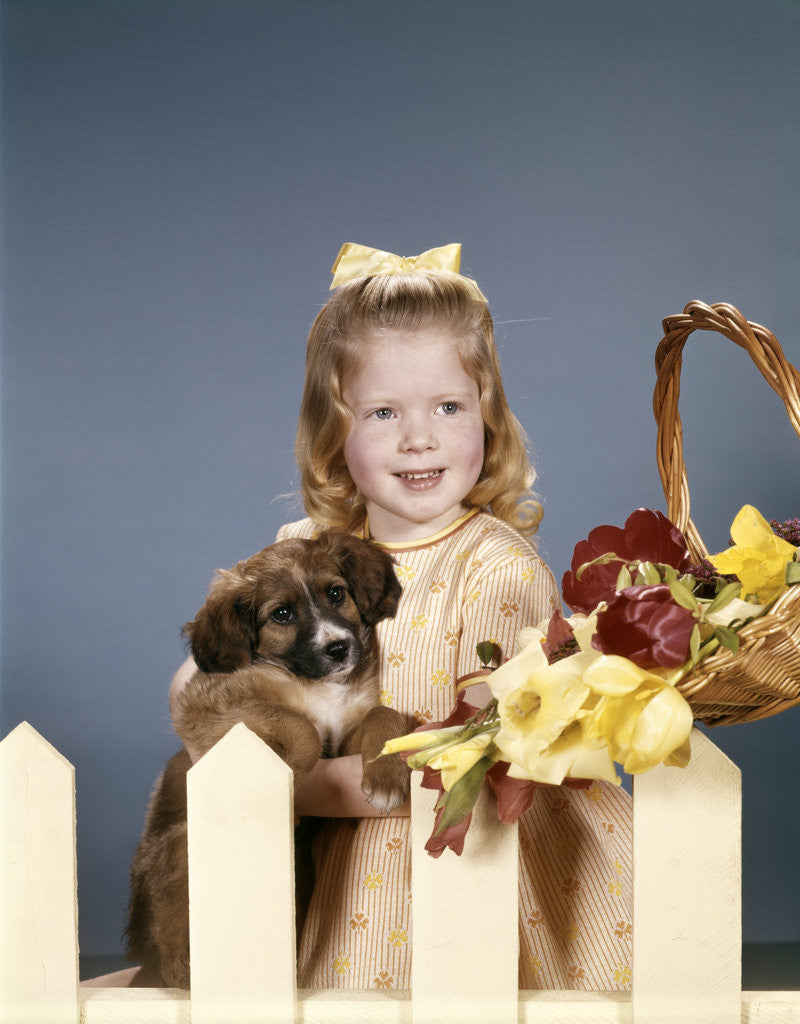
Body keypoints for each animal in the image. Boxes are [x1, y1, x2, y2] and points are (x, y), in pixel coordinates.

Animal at [126, 528, 411, 983]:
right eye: (282, 614)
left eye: (336, 593)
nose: (338, 648)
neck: (314, 682)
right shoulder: (207, 708)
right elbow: (302, 730)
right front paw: (281, 788)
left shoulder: (346, 737)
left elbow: (383, 714)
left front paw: (385, 775)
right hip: (182, 844)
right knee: (176, 951)